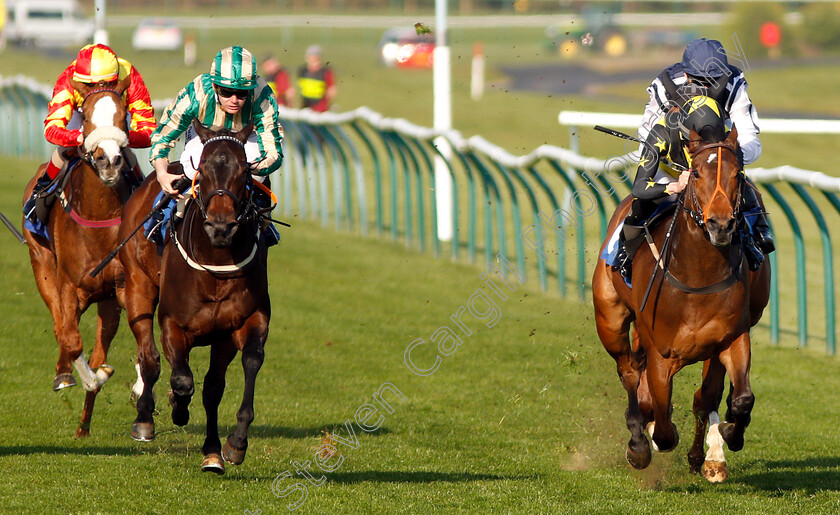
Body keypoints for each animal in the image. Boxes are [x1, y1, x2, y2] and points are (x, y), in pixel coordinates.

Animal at [22, 76, 134, 440]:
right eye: (84, 116)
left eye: (124, 115)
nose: (109, 160)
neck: (97, 216)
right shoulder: (69, 286)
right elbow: (71, 339)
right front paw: (81, 376)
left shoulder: (119, 290)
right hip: (42, 265)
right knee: (60, 324)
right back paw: (65, 374)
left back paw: (84, 424)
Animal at [120, 121, 270, 476]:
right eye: (203, 169)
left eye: (245, 171)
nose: (220, 227)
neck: (215, 266)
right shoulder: (173, 324)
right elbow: (182, 380)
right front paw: (177, 405)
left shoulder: (241, 324)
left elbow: (242, 368)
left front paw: (232, 445)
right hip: (137, 286)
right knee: (149, 357)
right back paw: (144, 418)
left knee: (210, 386)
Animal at [592, 126, 772, 484]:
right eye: (697, 172)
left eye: (738, 174)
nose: (720, 224)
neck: (698, 274)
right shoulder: (661, 354)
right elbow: (662, 424)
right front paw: (648, 439)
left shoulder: (731, 338)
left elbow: (739, 398)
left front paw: (727, 436)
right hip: (610, 319)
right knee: (629, 372)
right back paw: (638, 441)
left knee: (703, 395)